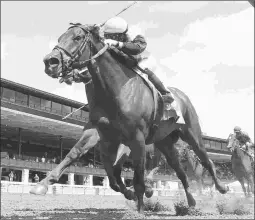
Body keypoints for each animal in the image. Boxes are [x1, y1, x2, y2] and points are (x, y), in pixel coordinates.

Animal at [30, 23, 229, 212]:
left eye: (77, 37)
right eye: (59, 38)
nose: (50, 62)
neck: (115, 91)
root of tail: (182, 96)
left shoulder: (136, 138)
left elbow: (136, 175)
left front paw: (139, 206)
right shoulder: (99, 132)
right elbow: (76, 154)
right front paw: (43, 184)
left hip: (191, 133)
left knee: (206, 160)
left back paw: (221, 187)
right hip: (165, 143)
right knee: (179, 170)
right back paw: (191, 201)